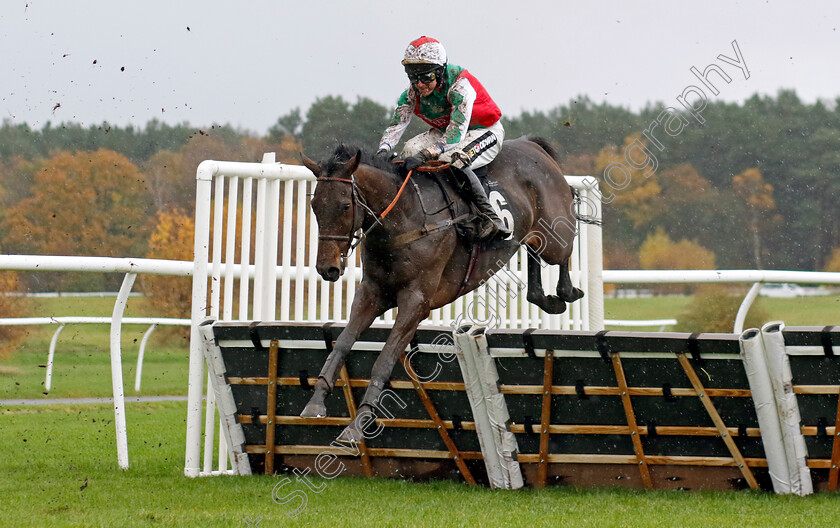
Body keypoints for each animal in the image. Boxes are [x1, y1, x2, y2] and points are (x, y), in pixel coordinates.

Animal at [302, 137, 584, 442]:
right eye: (315, 205)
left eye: (344, 205)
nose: (327, 268)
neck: (405, 217)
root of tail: (532, 144)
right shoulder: (372, 293)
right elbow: (342, 343)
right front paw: (315, 402)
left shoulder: (416, 302)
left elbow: (385, 359)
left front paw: (358, 423)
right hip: (532, 235)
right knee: (534, 255)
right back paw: (544, 297)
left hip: (555, 234)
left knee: (563, 249)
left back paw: (566, 292)